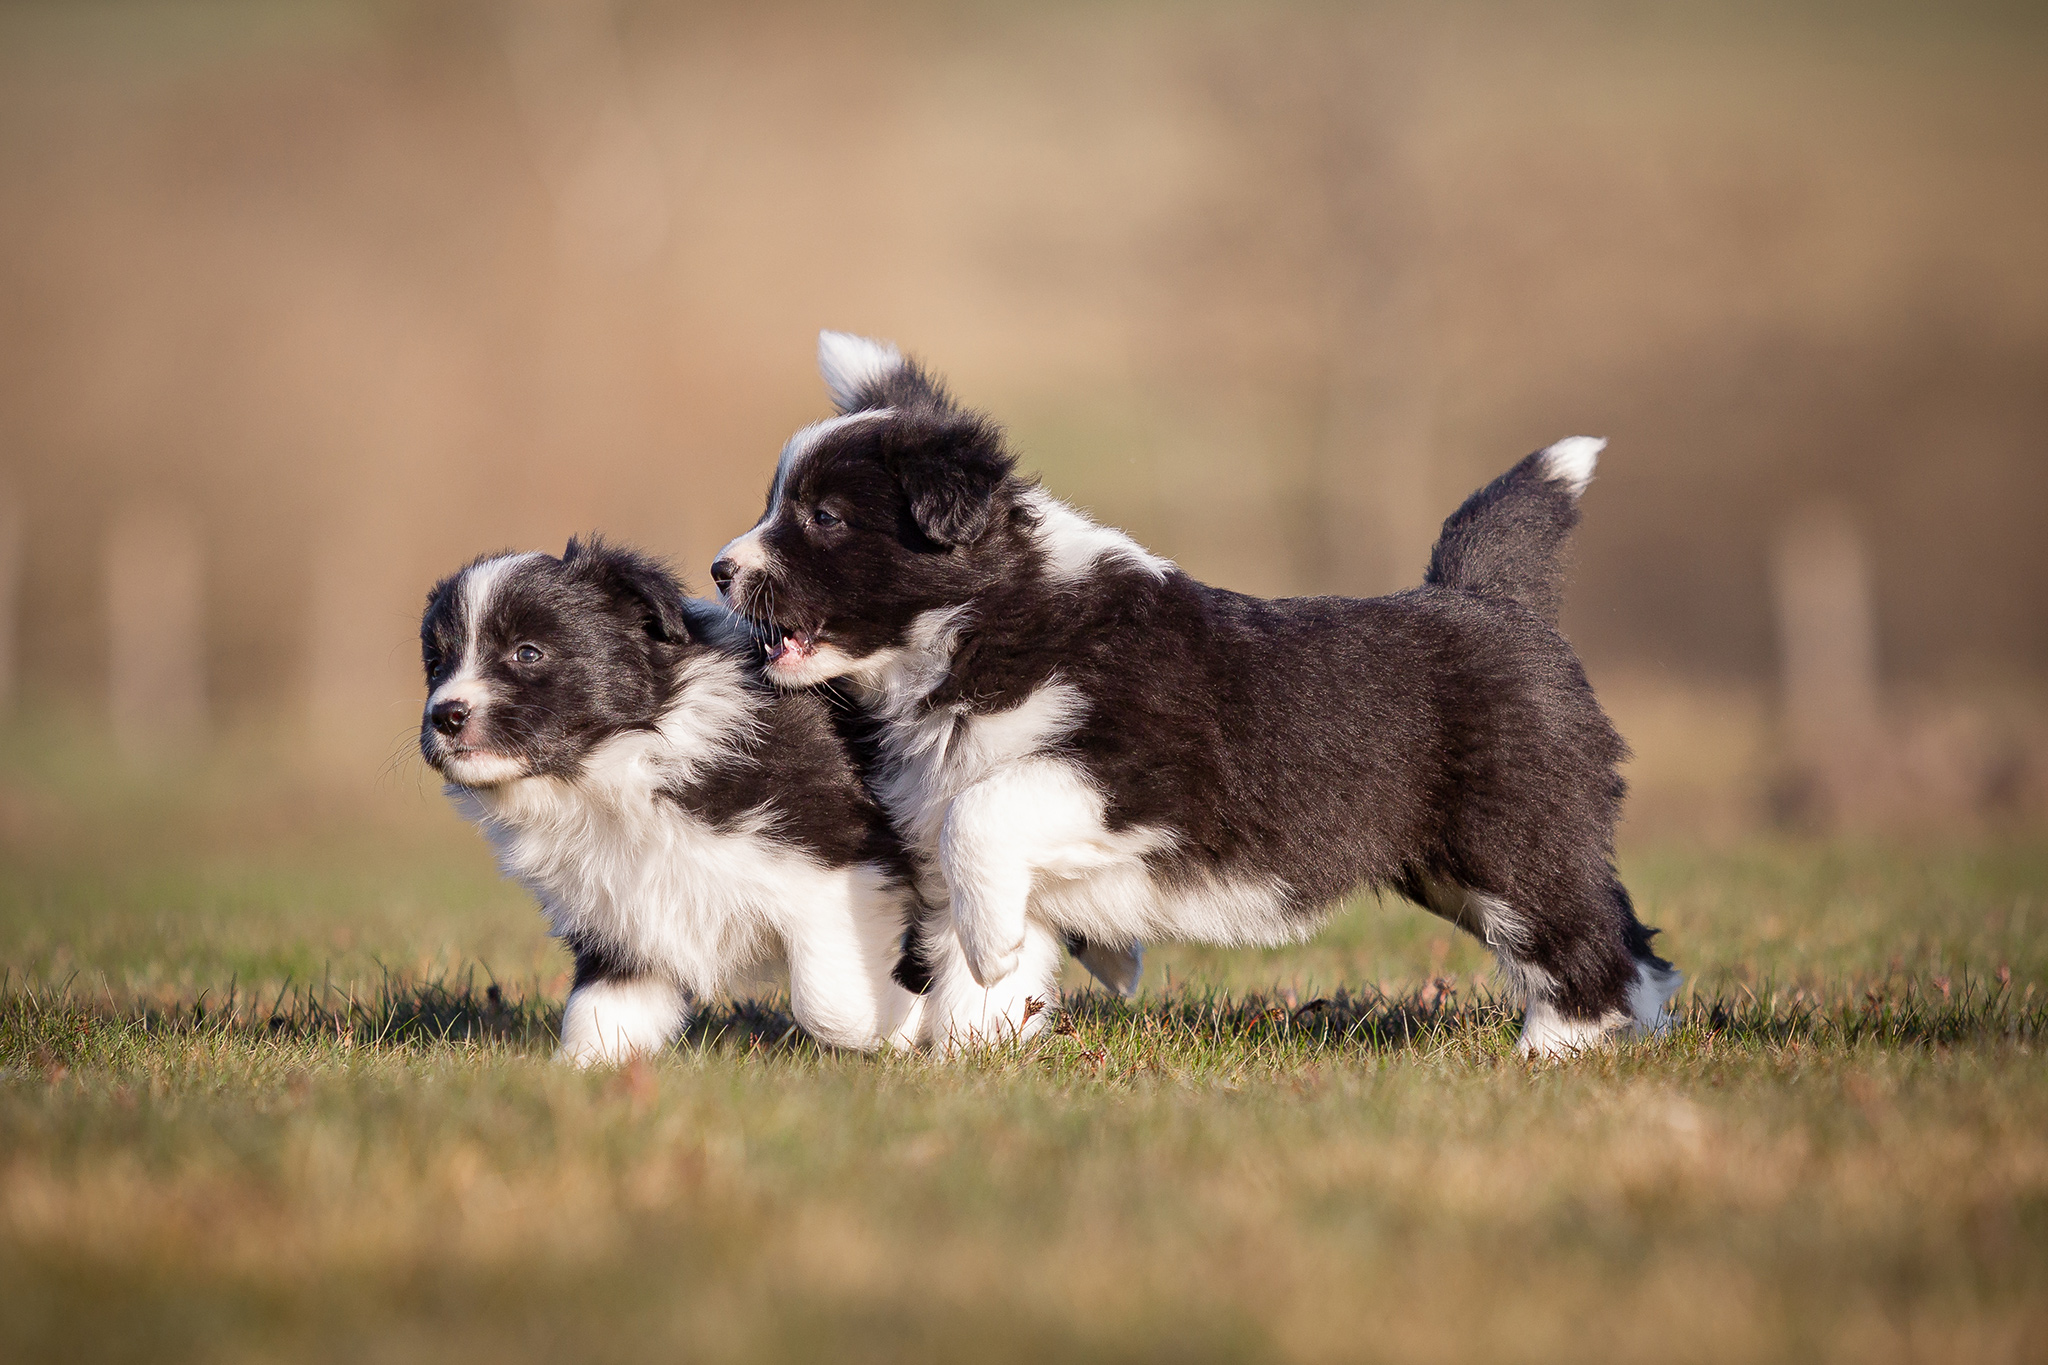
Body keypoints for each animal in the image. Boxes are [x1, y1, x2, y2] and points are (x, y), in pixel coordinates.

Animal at [419, 532, 925, 1064]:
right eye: (436, 664)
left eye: (528, 653)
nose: (446, 715)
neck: (622, 770)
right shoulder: (625, 918)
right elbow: (603, 1009)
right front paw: (582, 1068)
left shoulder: (843, 867)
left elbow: (832, 1001)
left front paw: (907, 1024)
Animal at [716, 333, 1679, 1055]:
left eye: (824, 517)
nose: (723, 569)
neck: (984, 625)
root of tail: (1491, 596)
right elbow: (976, 943)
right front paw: (969, 1057)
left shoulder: (1140, 770)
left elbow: (981, 819)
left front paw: (990, 960)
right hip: (1451, 866)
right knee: (1632, 942)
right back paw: (1636, 1042)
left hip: (1511, 831)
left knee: (1578, 938)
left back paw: (1551, 1052)